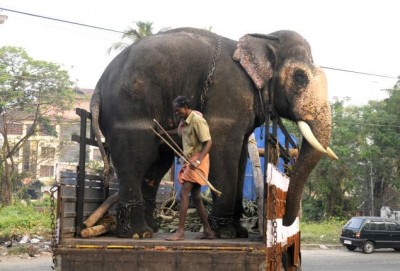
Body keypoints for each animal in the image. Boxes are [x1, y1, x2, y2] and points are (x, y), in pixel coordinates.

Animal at [90, 27, 334, 239]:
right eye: (301, 77)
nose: (283, 223)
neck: (259, 41)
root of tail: (98, 89)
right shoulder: (227, 96)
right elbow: (223, 150)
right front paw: (225, 233)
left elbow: (241, 157)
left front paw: (239, 232)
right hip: (127, 112)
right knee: (136, 160)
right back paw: (138, 234)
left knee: (156, 165)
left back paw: (151, 229)